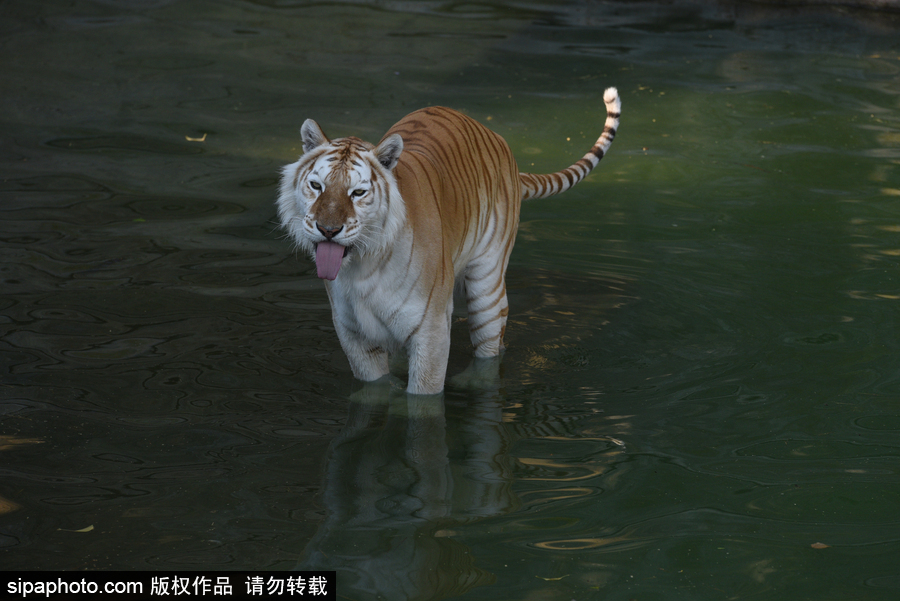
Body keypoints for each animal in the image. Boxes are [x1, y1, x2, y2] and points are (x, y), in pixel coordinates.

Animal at [277, 87, 621, 395]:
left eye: (358, 192)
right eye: (316, 186)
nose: (328, 229)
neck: (363, 264)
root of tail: (496, 138)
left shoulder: (430, 330)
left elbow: (423, 402)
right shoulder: (353, 334)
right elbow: (375, 389)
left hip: (487, 285)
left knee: (491, 347)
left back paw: (474, 382)